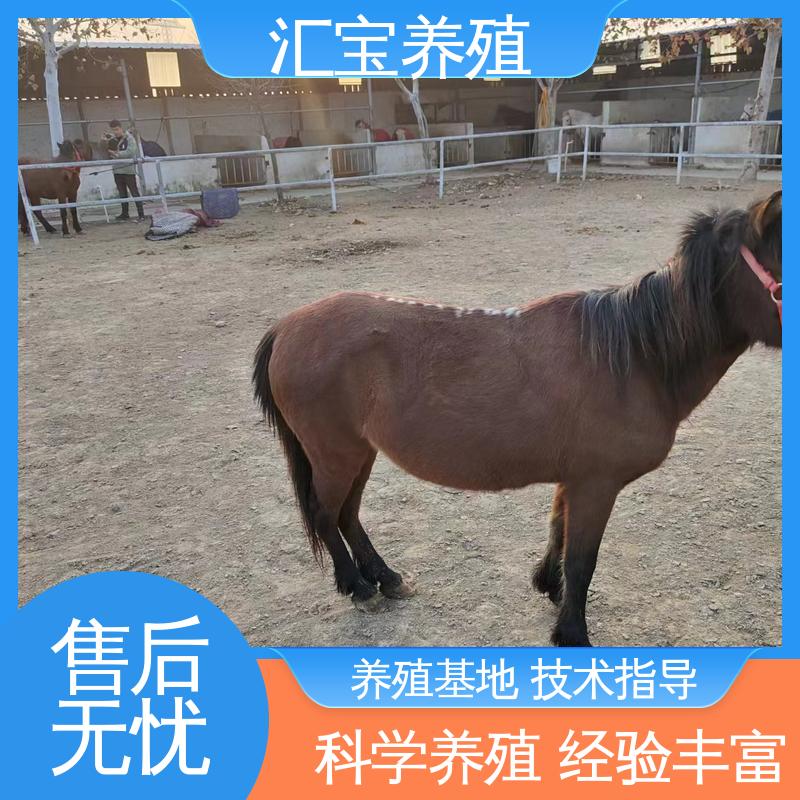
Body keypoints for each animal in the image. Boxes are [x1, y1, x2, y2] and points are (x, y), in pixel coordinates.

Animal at [253, 191, 781, 647]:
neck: (636, 358)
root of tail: (287, 326)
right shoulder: (598, 483)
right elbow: (582, 559)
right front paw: (572, 632)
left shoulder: (578, 479)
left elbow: (559, 532)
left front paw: (550, 587)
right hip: (335, 452)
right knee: (326, 514)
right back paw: (359, 588)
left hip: (360, 452)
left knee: (347, 514)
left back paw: (385, 578)